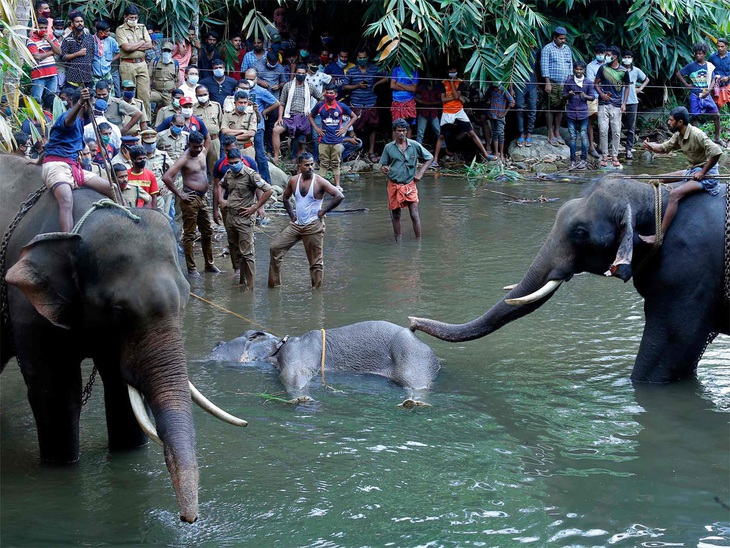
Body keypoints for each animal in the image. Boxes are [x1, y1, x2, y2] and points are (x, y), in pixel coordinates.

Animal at [0, 154, 245, 524]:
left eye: (185, 299)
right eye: (116, 311)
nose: (188, 519)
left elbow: (120, 390)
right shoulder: (26, 306)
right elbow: (56, 393)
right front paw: (62, 467)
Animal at [208, 318, 440, 404]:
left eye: (219, 344)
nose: (215, 343)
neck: (279, 345)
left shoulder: (296, 356)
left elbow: (293, 377)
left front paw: (303, 399)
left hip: (411, 359)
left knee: (416, 384)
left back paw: (413, 402)